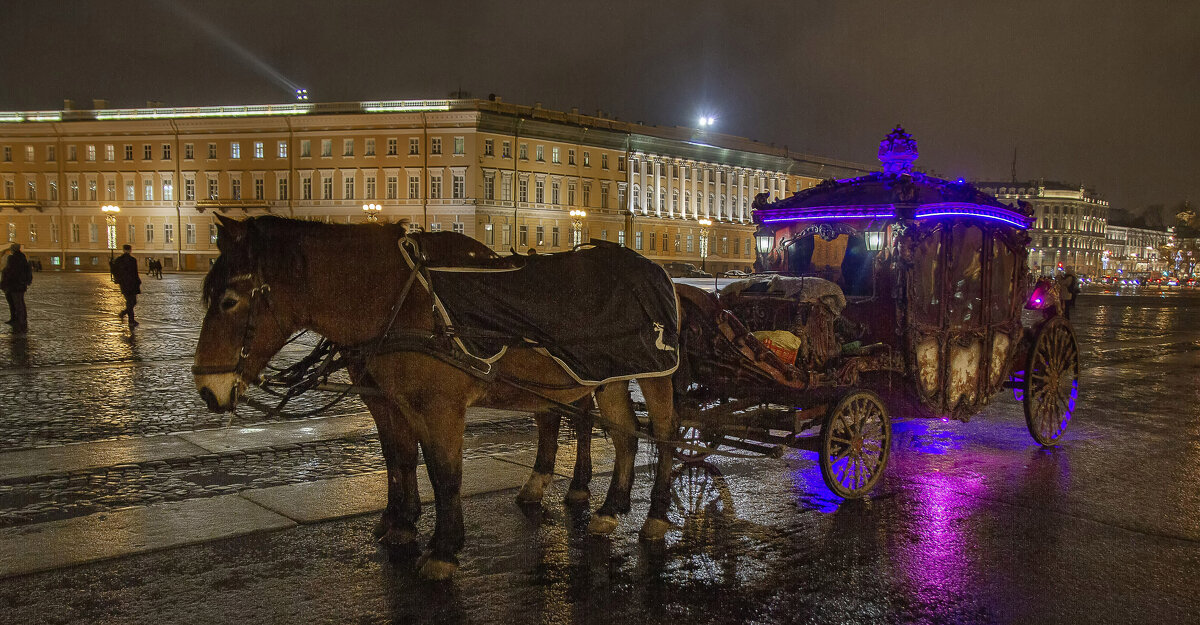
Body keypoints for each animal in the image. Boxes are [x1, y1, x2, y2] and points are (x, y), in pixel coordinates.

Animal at [187, 215, 676, 580]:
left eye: (229, 300)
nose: (208, 391)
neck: (397, 299)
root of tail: (653, 267)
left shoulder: (439, 408)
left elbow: (444, 474)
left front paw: (443, 548)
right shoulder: (391, 402)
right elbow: (400, 460)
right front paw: (400, 524)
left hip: (654, 377)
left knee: (665, 436)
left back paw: (654, 516)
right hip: (607, 377)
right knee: (625, 435)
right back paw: (608, 509)